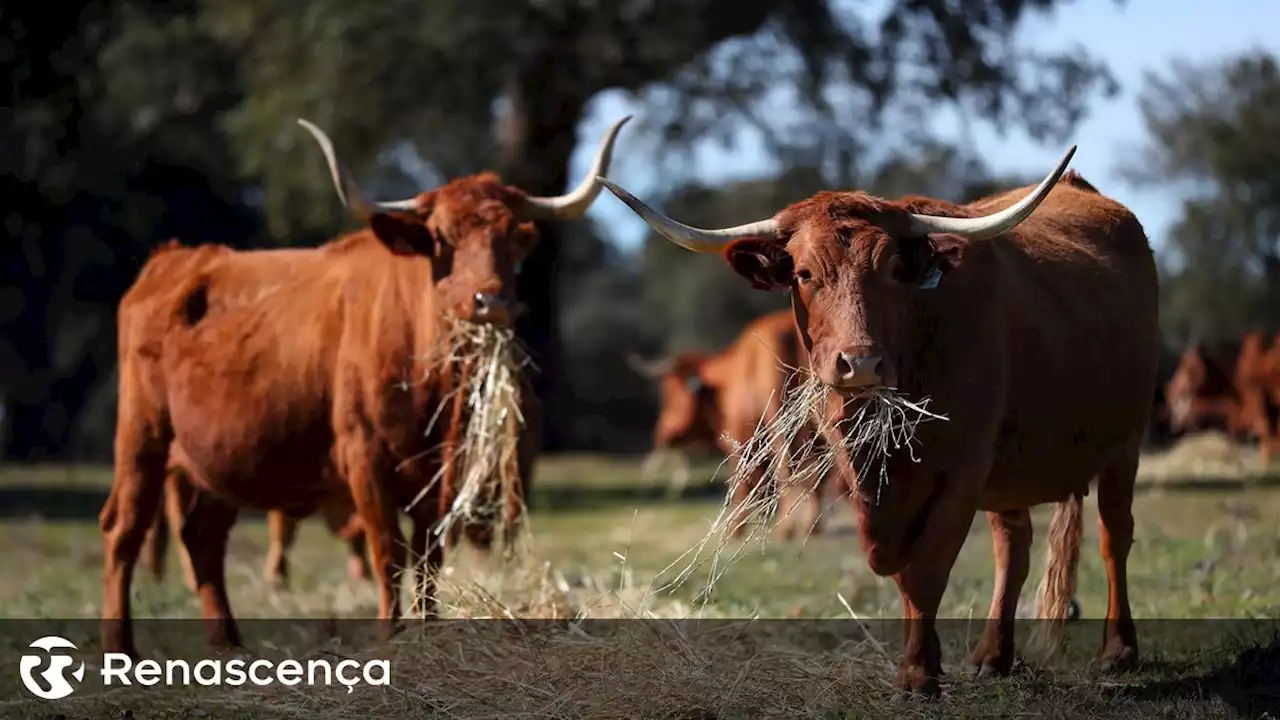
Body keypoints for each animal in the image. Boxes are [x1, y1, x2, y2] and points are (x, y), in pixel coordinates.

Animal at [99, 113, 629, 655]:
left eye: (510, 239)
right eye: (443, 236)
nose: (491, 302)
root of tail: (173, 259)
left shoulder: (441, 475)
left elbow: (429, 556)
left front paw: (428, 629)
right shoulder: (365, 460)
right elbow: (387, 553)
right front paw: (390, 633)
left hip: (216, 462)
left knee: (203, 540)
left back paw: (227, 643)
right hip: (141, 440)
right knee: (124, 531)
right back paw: (120, 645)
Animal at [632, 308, 839, 538]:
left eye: (671, 394)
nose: (661, 432)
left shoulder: (741, 439)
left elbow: (743, 482)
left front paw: (737, 528)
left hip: (782, 423)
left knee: (787, 468)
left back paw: (786, 528)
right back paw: (812, 526)